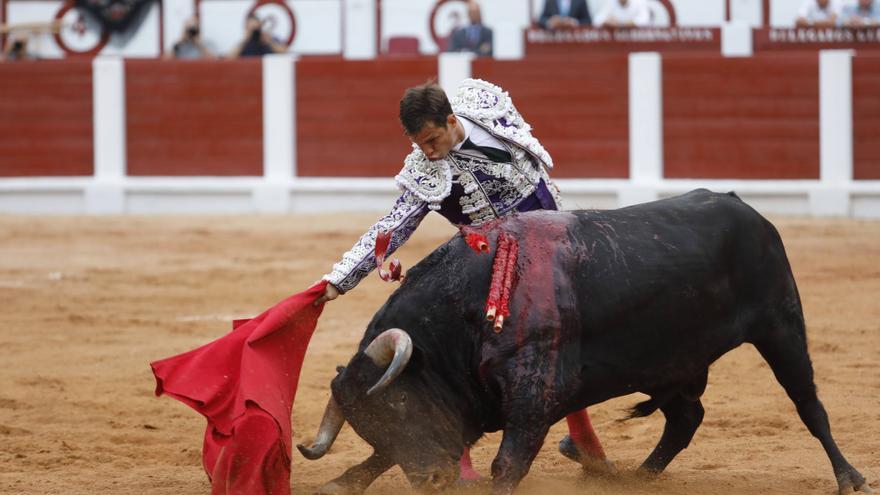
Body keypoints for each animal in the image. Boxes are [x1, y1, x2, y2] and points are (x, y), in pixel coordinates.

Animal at [300, 191, 868, 495]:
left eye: (398, 404)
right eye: (370, 425)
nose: (435, 482)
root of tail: (743, 207)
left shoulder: (532, 398)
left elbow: (507, 464)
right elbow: (386, 458)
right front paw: (342, 480)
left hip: (781, 325)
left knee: (809, 405)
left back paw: (848, 476)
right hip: (671, 362)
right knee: (686, 418)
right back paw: (635, 478)